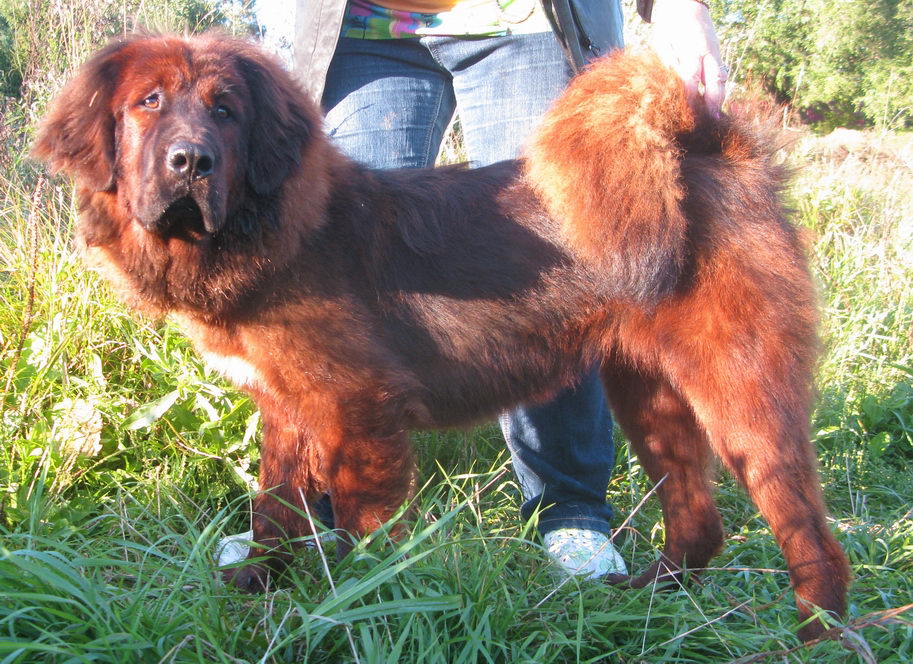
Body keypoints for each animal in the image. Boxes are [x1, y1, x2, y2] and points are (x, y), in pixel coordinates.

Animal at [33, 33, 849, 640]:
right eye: (148, 103)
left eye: (226, 111)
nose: (191, 162)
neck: (268, 227)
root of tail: (707, 144)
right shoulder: (286, 406)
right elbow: (276, 508)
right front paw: (258, 582)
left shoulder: (359, 412)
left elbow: (361, 533)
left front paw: (361, 610)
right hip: (651, 397)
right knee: (696, 516)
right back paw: (648, 596)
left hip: (743, 396)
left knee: (810, 533)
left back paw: (815, 636)